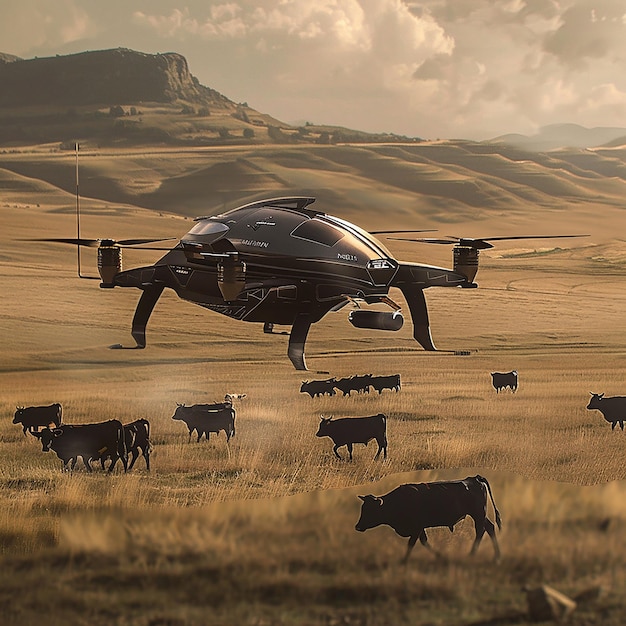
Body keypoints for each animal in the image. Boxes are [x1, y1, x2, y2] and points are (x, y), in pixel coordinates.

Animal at [354, 472, 500, 560]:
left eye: (371, 510)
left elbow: (411, 544)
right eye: (363, 509)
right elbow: (424, 542)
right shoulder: (420, 528)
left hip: (478, 514)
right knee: (489, 528)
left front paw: (403, 561)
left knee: (481, 530)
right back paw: (496, 556)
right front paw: (440, 556)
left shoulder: (417, 527)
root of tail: (474, 478)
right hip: (480, 515)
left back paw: (472, 554)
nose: (358, 527)